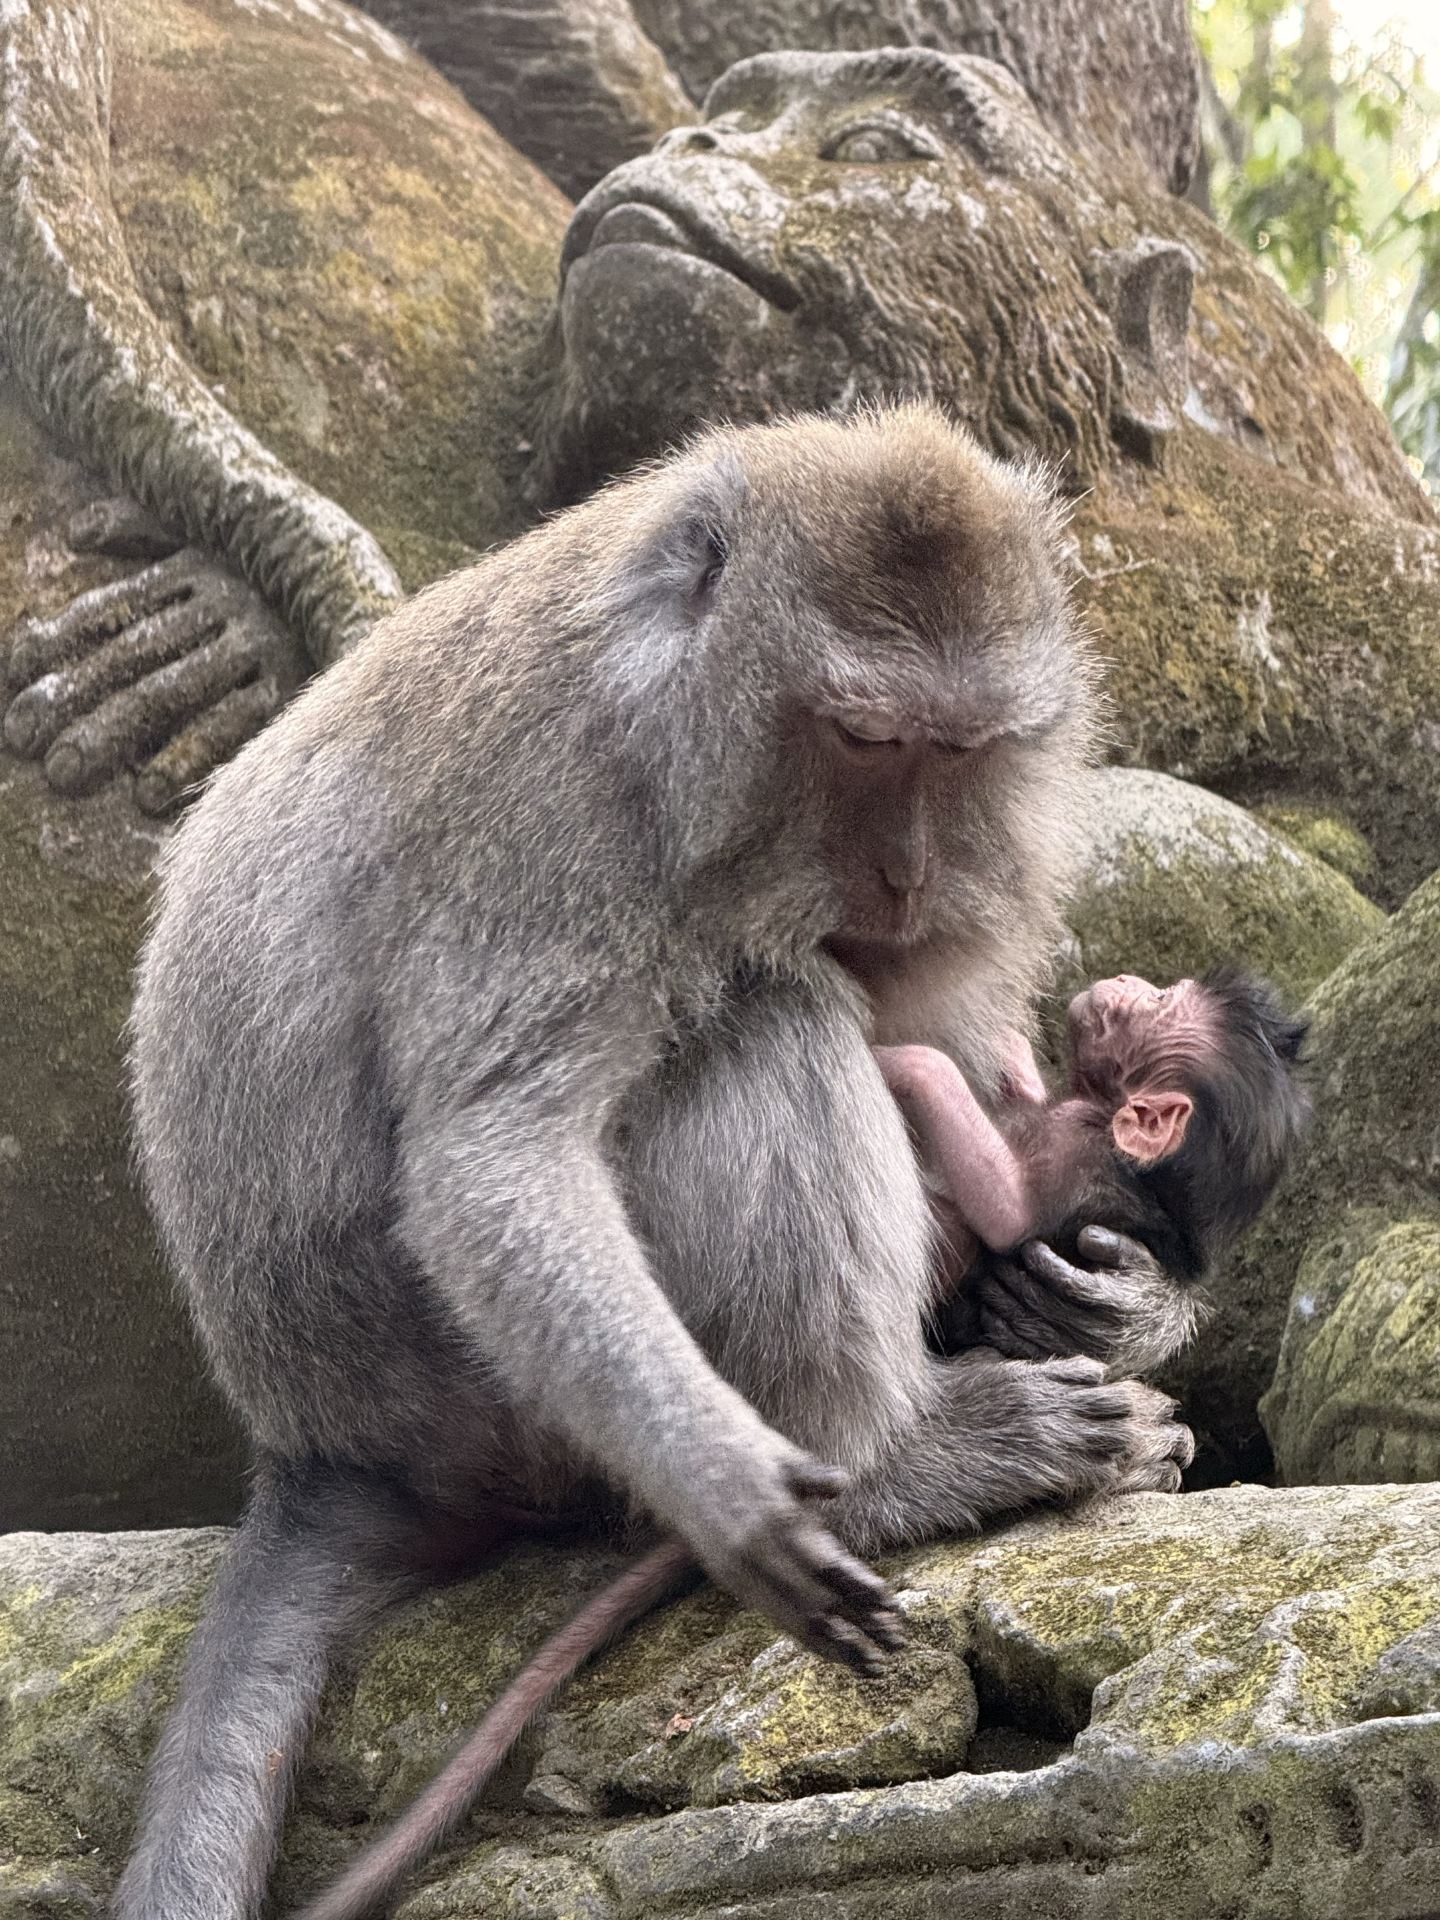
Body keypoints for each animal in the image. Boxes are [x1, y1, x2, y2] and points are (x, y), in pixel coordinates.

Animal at [119, 403, 1194, 1920]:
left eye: (962, 750)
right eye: (864, 738)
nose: (910, 878)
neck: (670, 714)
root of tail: (324, 1443)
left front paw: (1116, 1288)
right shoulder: (554, 810)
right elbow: (496, 1153)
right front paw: (729, 1484)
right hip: (488, 1403)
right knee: (772, 1025)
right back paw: (898, 1465)